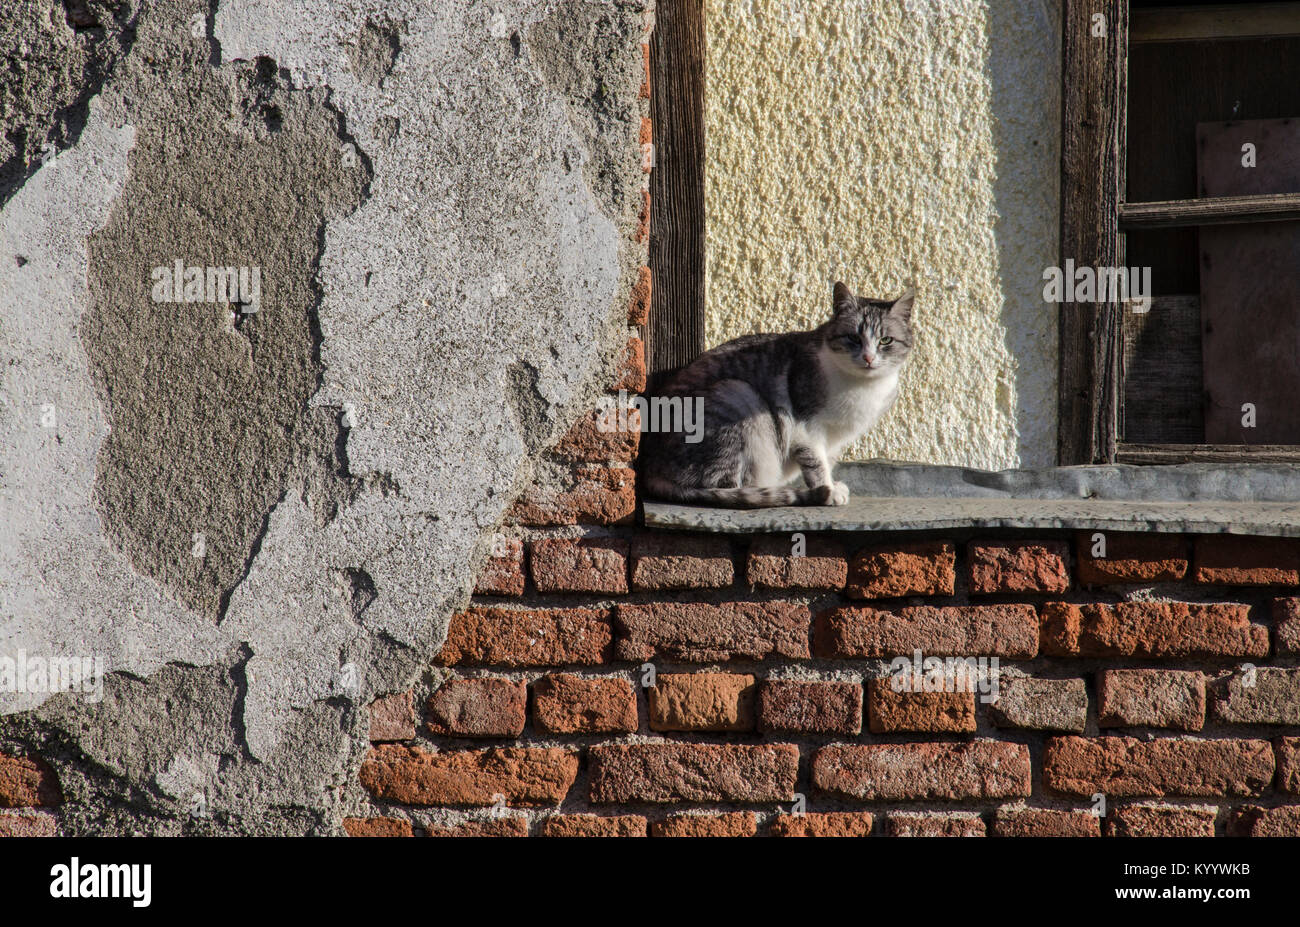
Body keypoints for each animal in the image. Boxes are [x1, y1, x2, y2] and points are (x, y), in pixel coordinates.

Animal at [639, 282, 915, 507]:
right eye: (853, 338)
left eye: (886, 341)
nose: (868, 358)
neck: (861, 388)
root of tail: (650, 467)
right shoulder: (806, 427)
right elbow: (816, 462)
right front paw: (827, 489)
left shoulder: (837, 438)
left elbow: (827, 458)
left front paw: (831, 484)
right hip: (738, 394)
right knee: (726, 488)